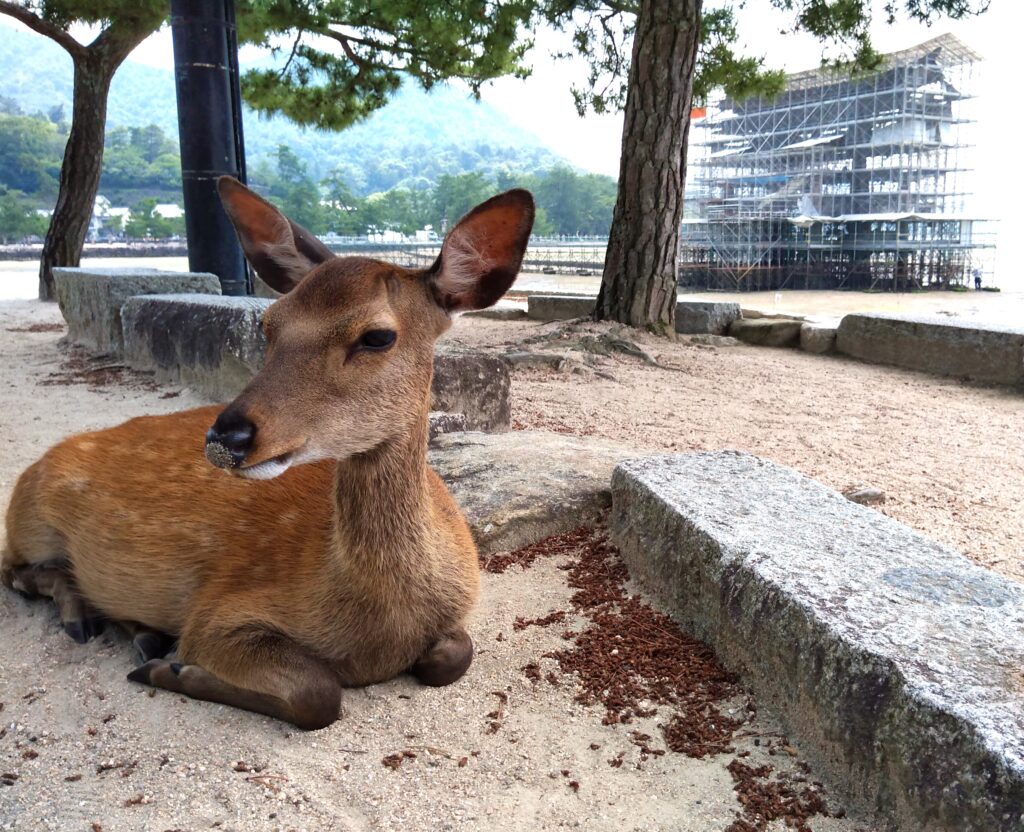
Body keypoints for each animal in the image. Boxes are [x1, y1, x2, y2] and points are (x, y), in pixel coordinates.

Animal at [1, 178, 535, 729]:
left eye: (378, 336)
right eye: (269, 324)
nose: (226, 437)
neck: (379, 632)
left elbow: (452, 657)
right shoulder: (218, 613)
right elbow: (317, 692)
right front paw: (174, 670)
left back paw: (143, 635)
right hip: (30, 520)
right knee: (14, 571)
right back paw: (95, 623)